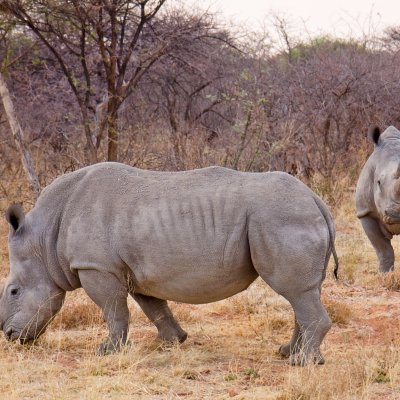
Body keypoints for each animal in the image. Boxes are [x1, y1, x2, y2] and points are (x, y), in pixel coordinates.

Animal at [0, 162, 338, 366]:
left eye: (14, 291)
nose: (10, 336)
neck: (43, 239)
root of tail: (316, 200)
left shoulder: (96, 266)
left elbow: (113, 310)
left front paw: (107, 352)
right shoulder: (131, 268)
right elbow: (153, 306)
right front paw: (170, 341)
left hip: (281, 218)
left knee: (295, 291)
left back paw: (303, 362)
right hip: (288, 216)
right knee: (302, 293)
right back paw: (288, 353)